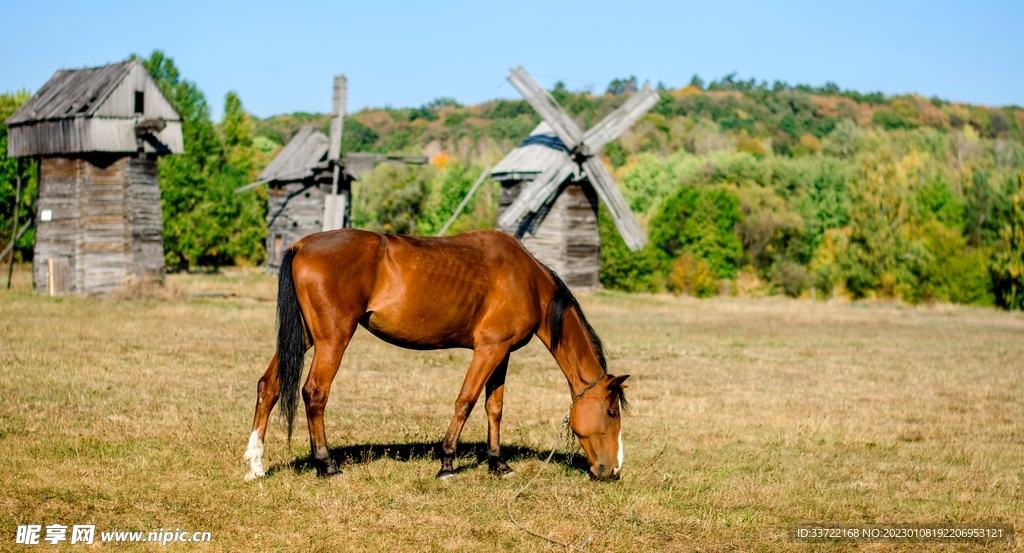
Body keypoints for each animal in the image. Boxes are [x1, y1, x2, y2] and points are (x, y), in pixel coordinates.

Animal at [243, 229, 629, 481]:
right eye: (612, 413)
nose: (612, 470)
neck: (528, 281)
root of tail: (301, 244)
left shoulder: (502, 353)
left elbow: (494, 408)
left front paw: (498, 463)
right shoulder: (488, 349)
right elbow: (466, 401)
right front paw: (446, 464)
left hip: (305, 338)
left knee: (268, 387)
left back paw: (256, 465)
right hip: (332, 339)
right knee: (315, 393)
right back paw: (326, 465)